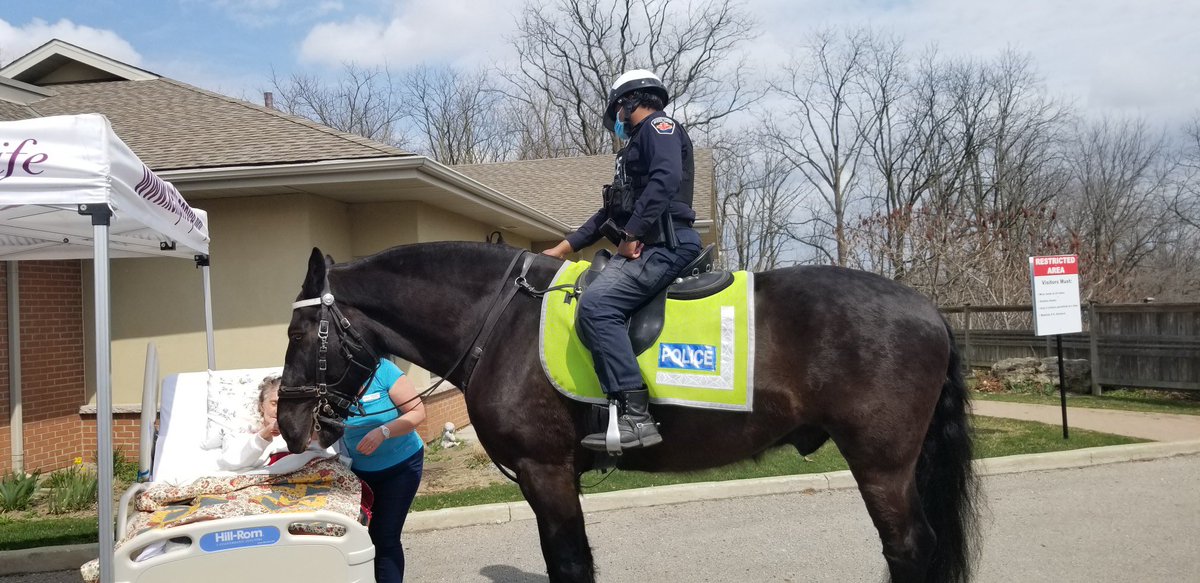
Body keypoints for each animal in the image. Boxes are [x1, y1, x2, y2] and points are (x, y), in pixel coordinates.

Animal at [277, 241, 980, 583]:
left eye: (297, 333)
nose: (288, 425)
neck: (501, 321)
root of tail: (927, 309)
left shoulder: (546, 471)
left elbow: (569, 562)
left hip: (881, 464)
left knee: (909, 548)